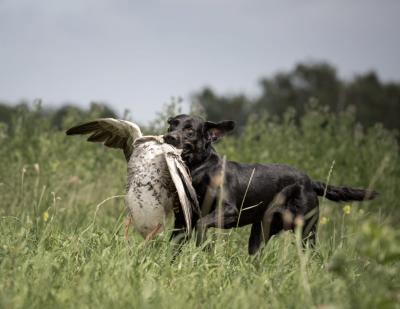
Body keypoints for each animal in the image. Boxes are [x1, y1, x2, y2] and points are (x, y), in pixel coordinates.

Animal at [164, 113, 376, 253]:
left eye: (190, 130)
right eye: (172, 125)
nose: (168, 137)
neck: (199, 170)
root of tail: (309, 181)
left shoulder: (229, 211)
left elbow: (202, 225)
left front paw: (202, 248)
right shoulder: (181, 220)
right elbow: (174, 247)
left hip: (306, 231)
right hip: (260, 232)